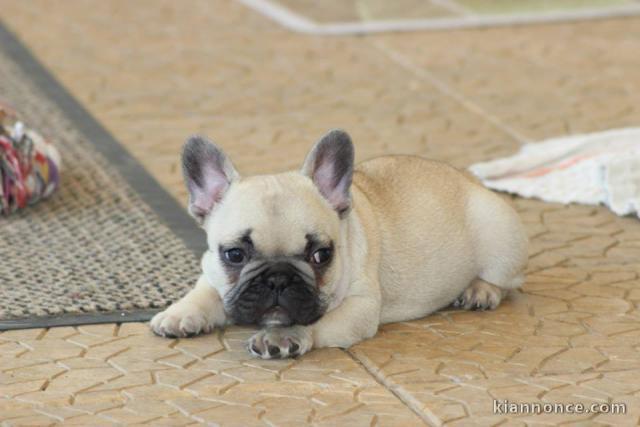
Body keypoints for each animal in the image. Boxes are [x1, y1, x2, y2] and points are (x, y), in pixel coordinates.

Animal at [152, 132, 528, 360]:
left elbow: (315, 321)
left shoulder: (360, 307)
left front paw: (281, 336)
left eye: (321, 255)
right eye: (234, 254)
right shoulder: (210, 270)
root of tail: (470, 180)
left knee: (507, 282)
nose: (278, 278)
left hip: (500, 239)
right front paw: (181, 312)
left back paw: (481, 290)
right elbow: (205, 292)